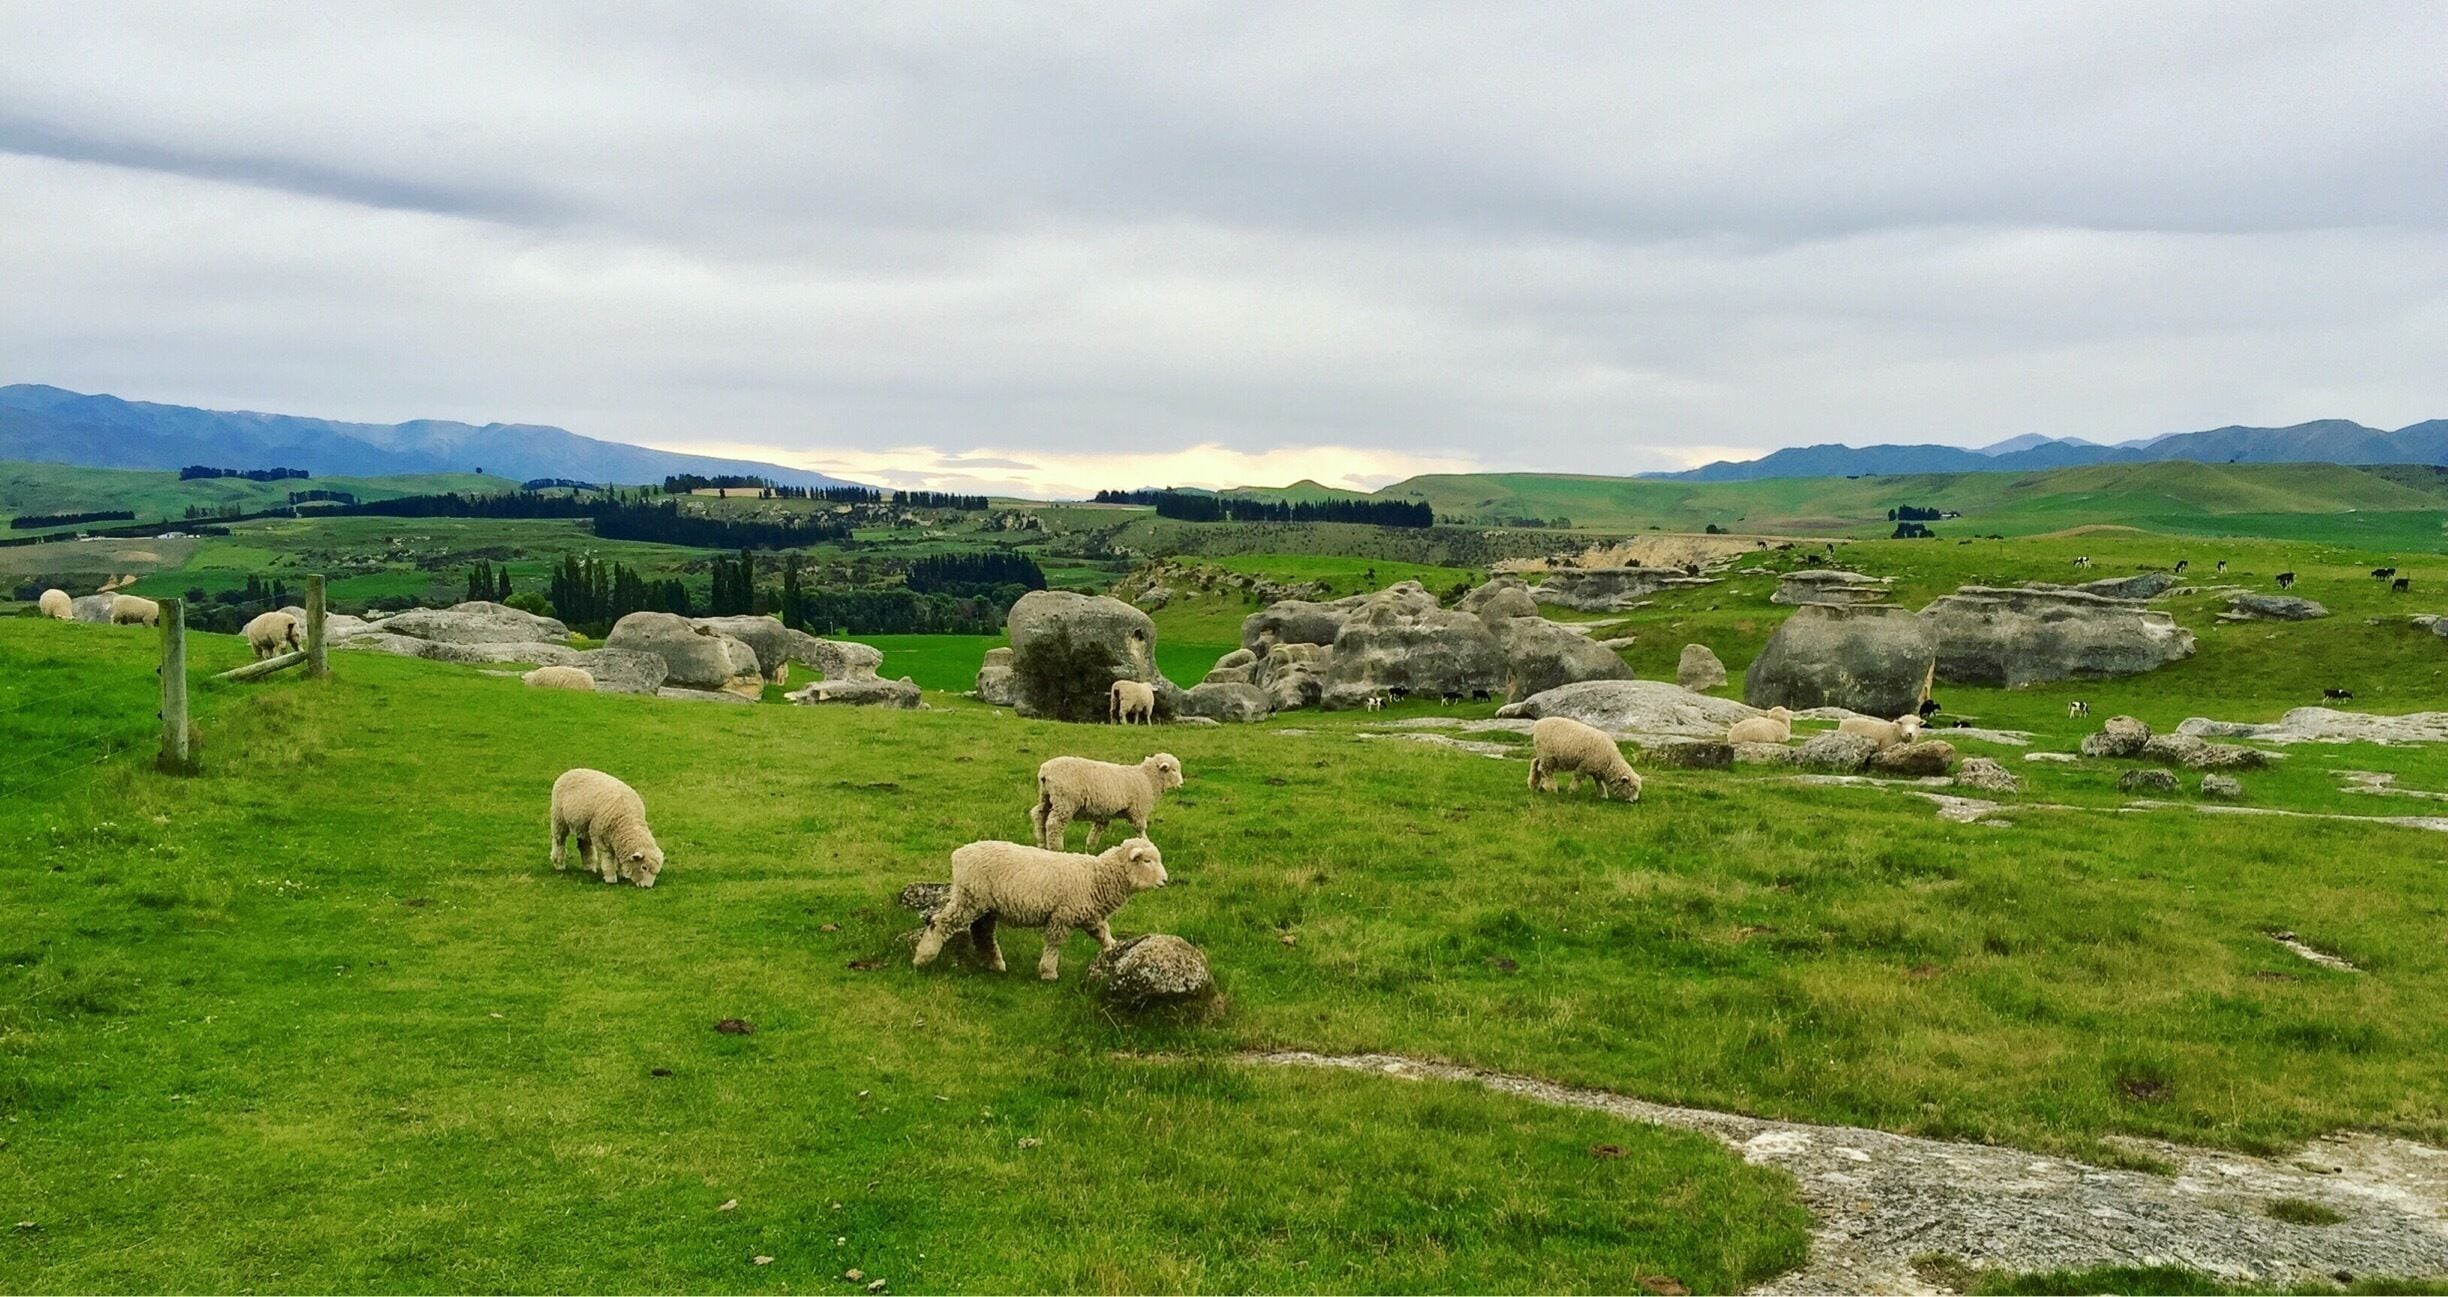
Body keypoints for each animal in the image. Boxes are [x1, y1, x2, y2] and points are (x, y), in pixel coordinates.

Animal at [913, 837, 1168, 980]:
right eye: (1147, 861)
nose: (1165, 880)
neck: (1096, 877)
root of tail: (958, 854)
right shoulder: (1062, 915)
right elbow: (1054, 944)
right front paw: (1048, 972)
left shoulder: (1089, 915)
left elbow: (1104, 935)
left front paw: (1115, 953)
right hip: (970, 899)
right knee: (940, 923)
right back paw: (923, 957)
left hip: (985, 906)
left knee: (982, 933)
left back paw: (995, 964)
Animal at [1031, 753, 1183, 850]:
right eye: (1174, 770)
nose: (1181, 784)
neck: (1148, 779)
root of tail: (1045, 772)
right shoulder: (1137, 810)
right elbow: (1140, 829)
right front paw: (1147, 843)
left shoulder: (1105, 811)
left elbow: (1099, 827)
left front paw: (1090, 846)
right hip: (1065, 801)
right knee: (1053, 824)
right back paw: (1056, 847)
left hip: (1046, 797)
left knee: (1039, 816)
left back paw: (1042, 843)